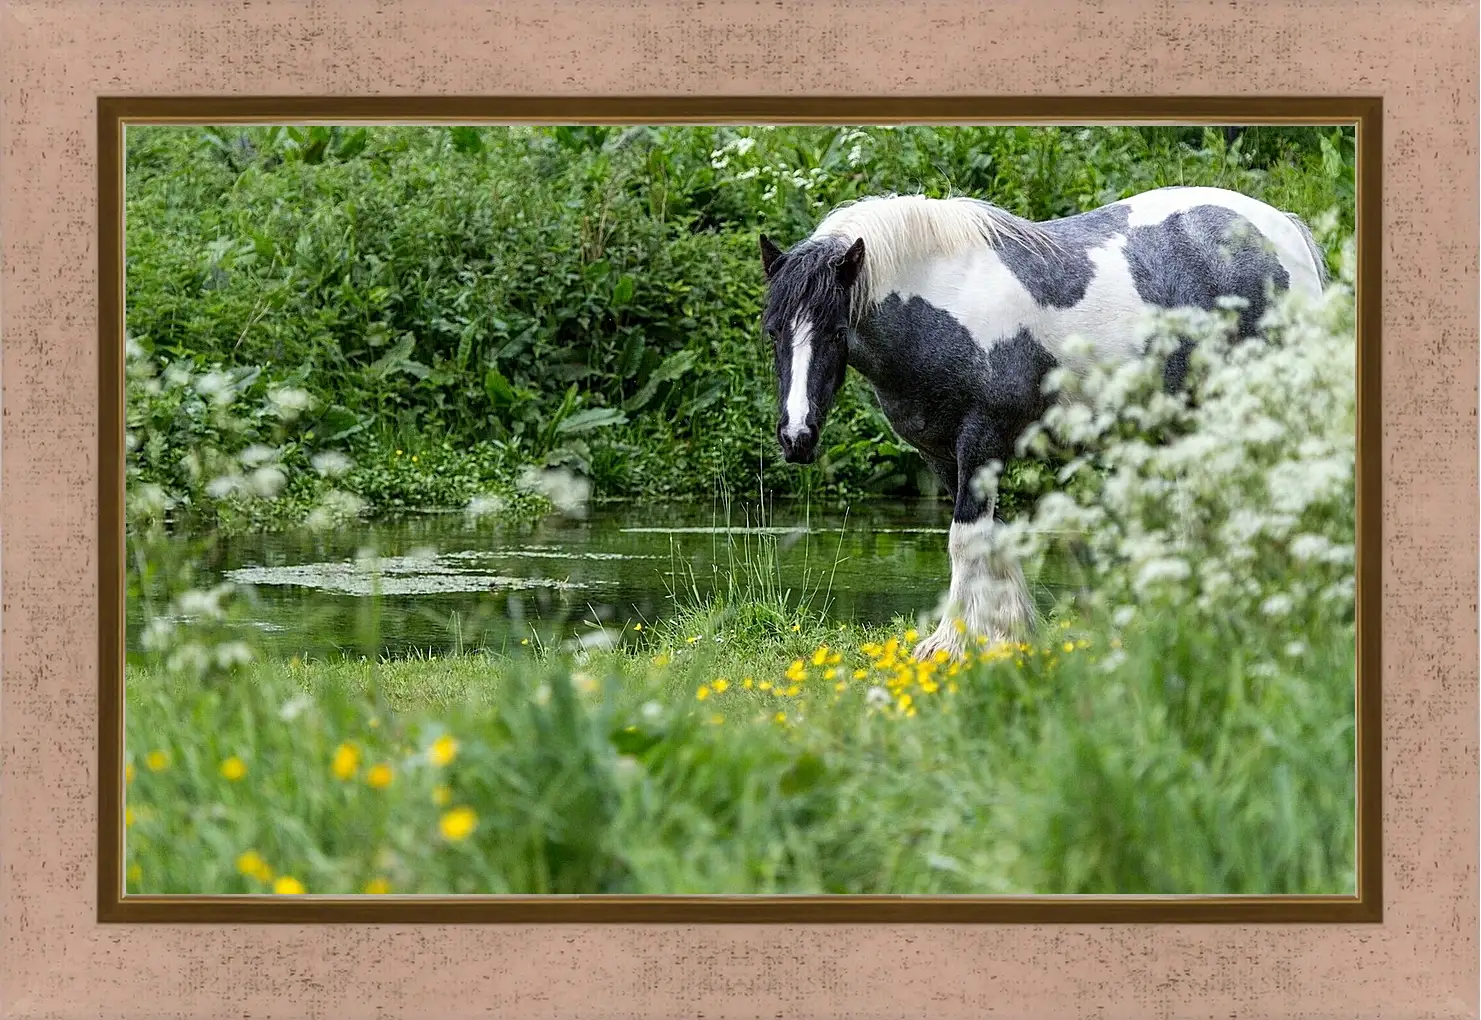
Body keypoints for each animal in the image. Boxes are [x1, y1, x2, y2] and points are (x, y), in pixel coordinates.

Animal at [758, 185, 1326, 660]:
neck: (942, 300)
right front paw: (1009, 635)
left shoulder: (981, 442)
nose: (796, 437)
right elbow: (992, 540)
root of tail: (1283, 230)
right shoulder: (943, 456)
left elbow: (964, 541)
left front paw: (952, 645)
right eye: (774, 331)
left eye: (836, 332)